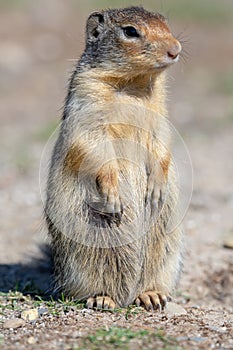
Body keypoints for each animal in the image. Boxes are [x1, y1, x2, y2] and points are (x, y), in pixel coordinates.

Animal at [45, 6, 183, 310]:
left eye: (166, 23)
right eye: (130, 31)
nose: (176, 49)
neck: (133, 85)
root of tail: (126, 297)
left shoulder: (160, 115)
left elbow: (162, 143)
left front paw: (156, 188)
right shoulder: (87, 104)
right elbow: (95, 148)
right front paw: (113, 194)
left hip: (166, 253)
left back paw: (151, 295)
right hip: (83, 256)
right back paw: (102, 298)